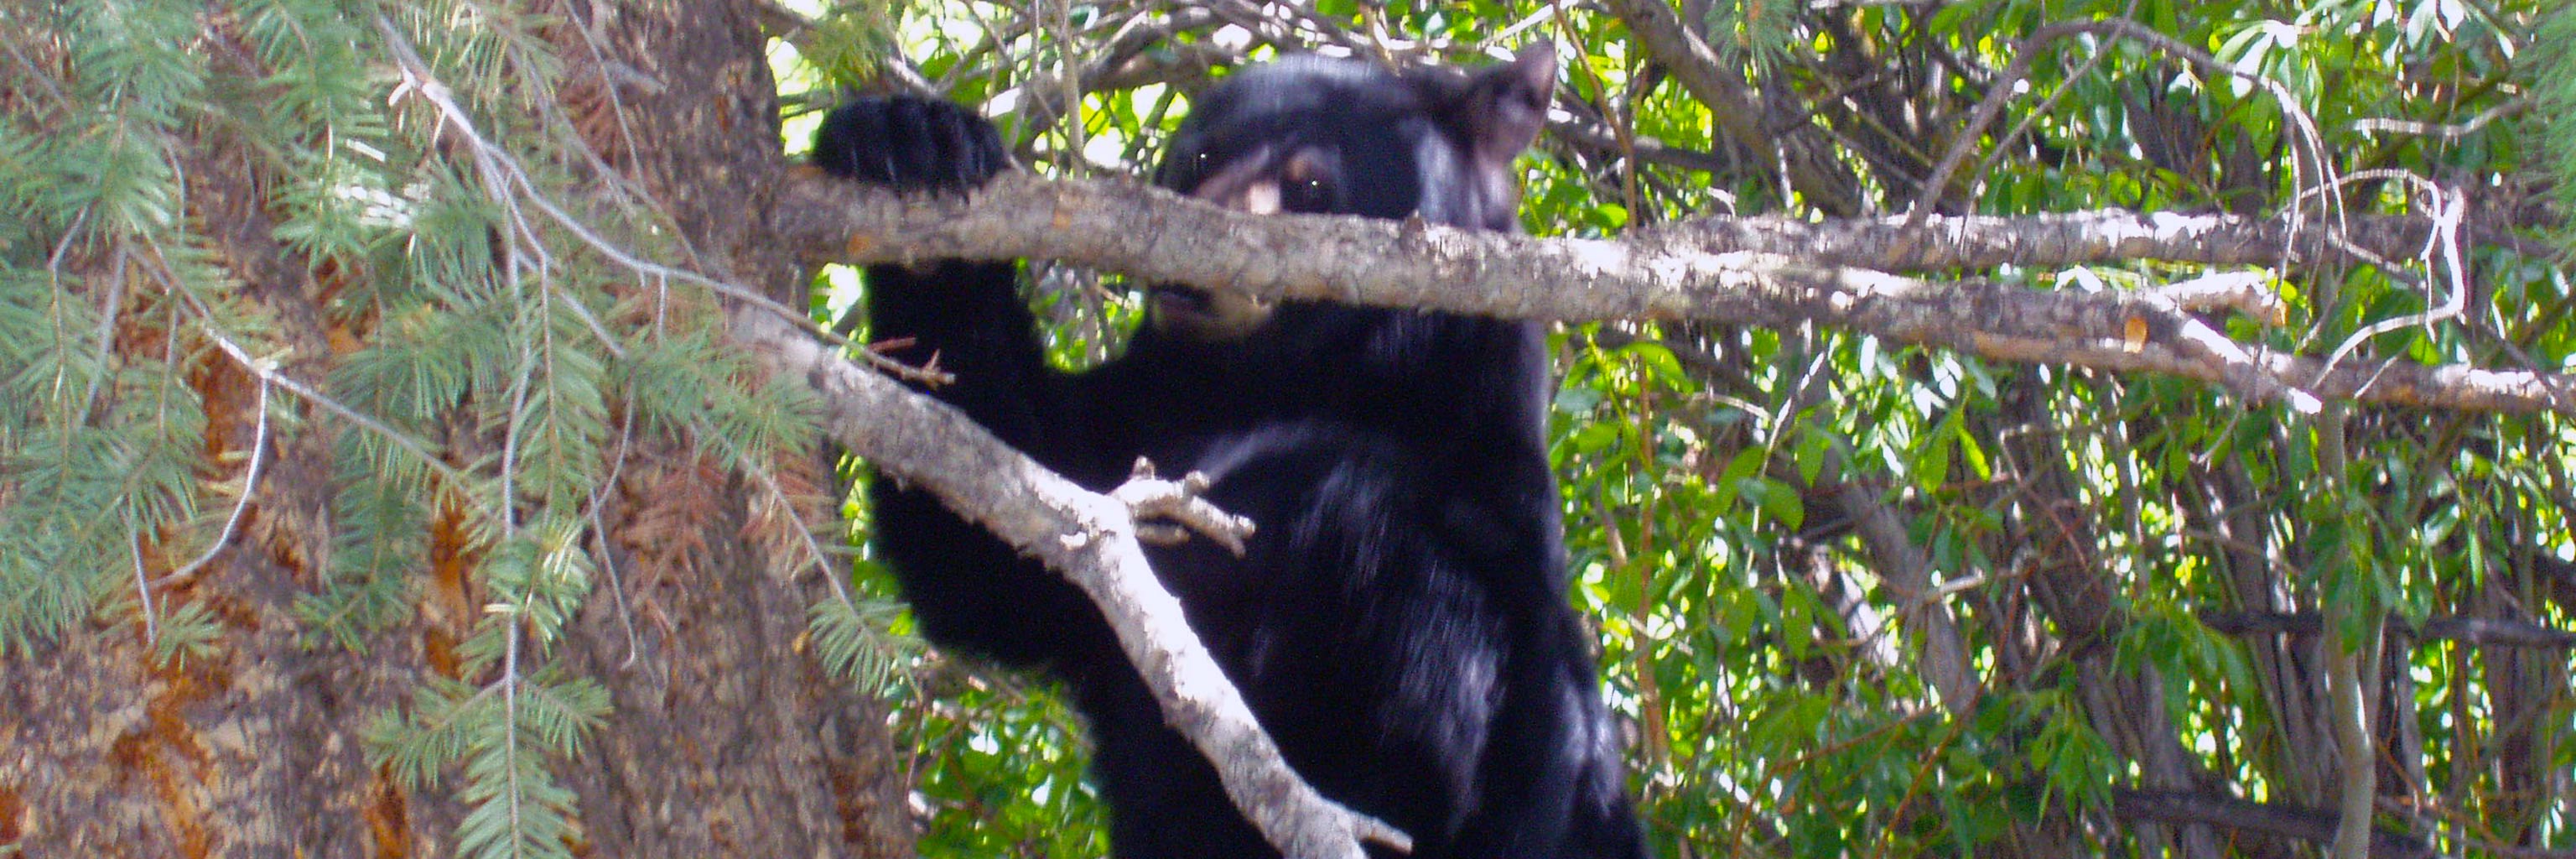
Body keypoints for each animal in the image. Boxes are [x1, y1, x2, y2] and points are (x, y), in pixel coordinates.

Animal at [818, 46, 1649, 856]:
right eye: (1198, 155)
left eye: (1310, 181)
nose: (1191, 269)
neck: (1278, 388)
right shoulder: (1127, 431)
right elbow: (989, 542)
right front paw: (914, 141)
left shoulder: (1480, 545)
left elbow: (1427, 747)